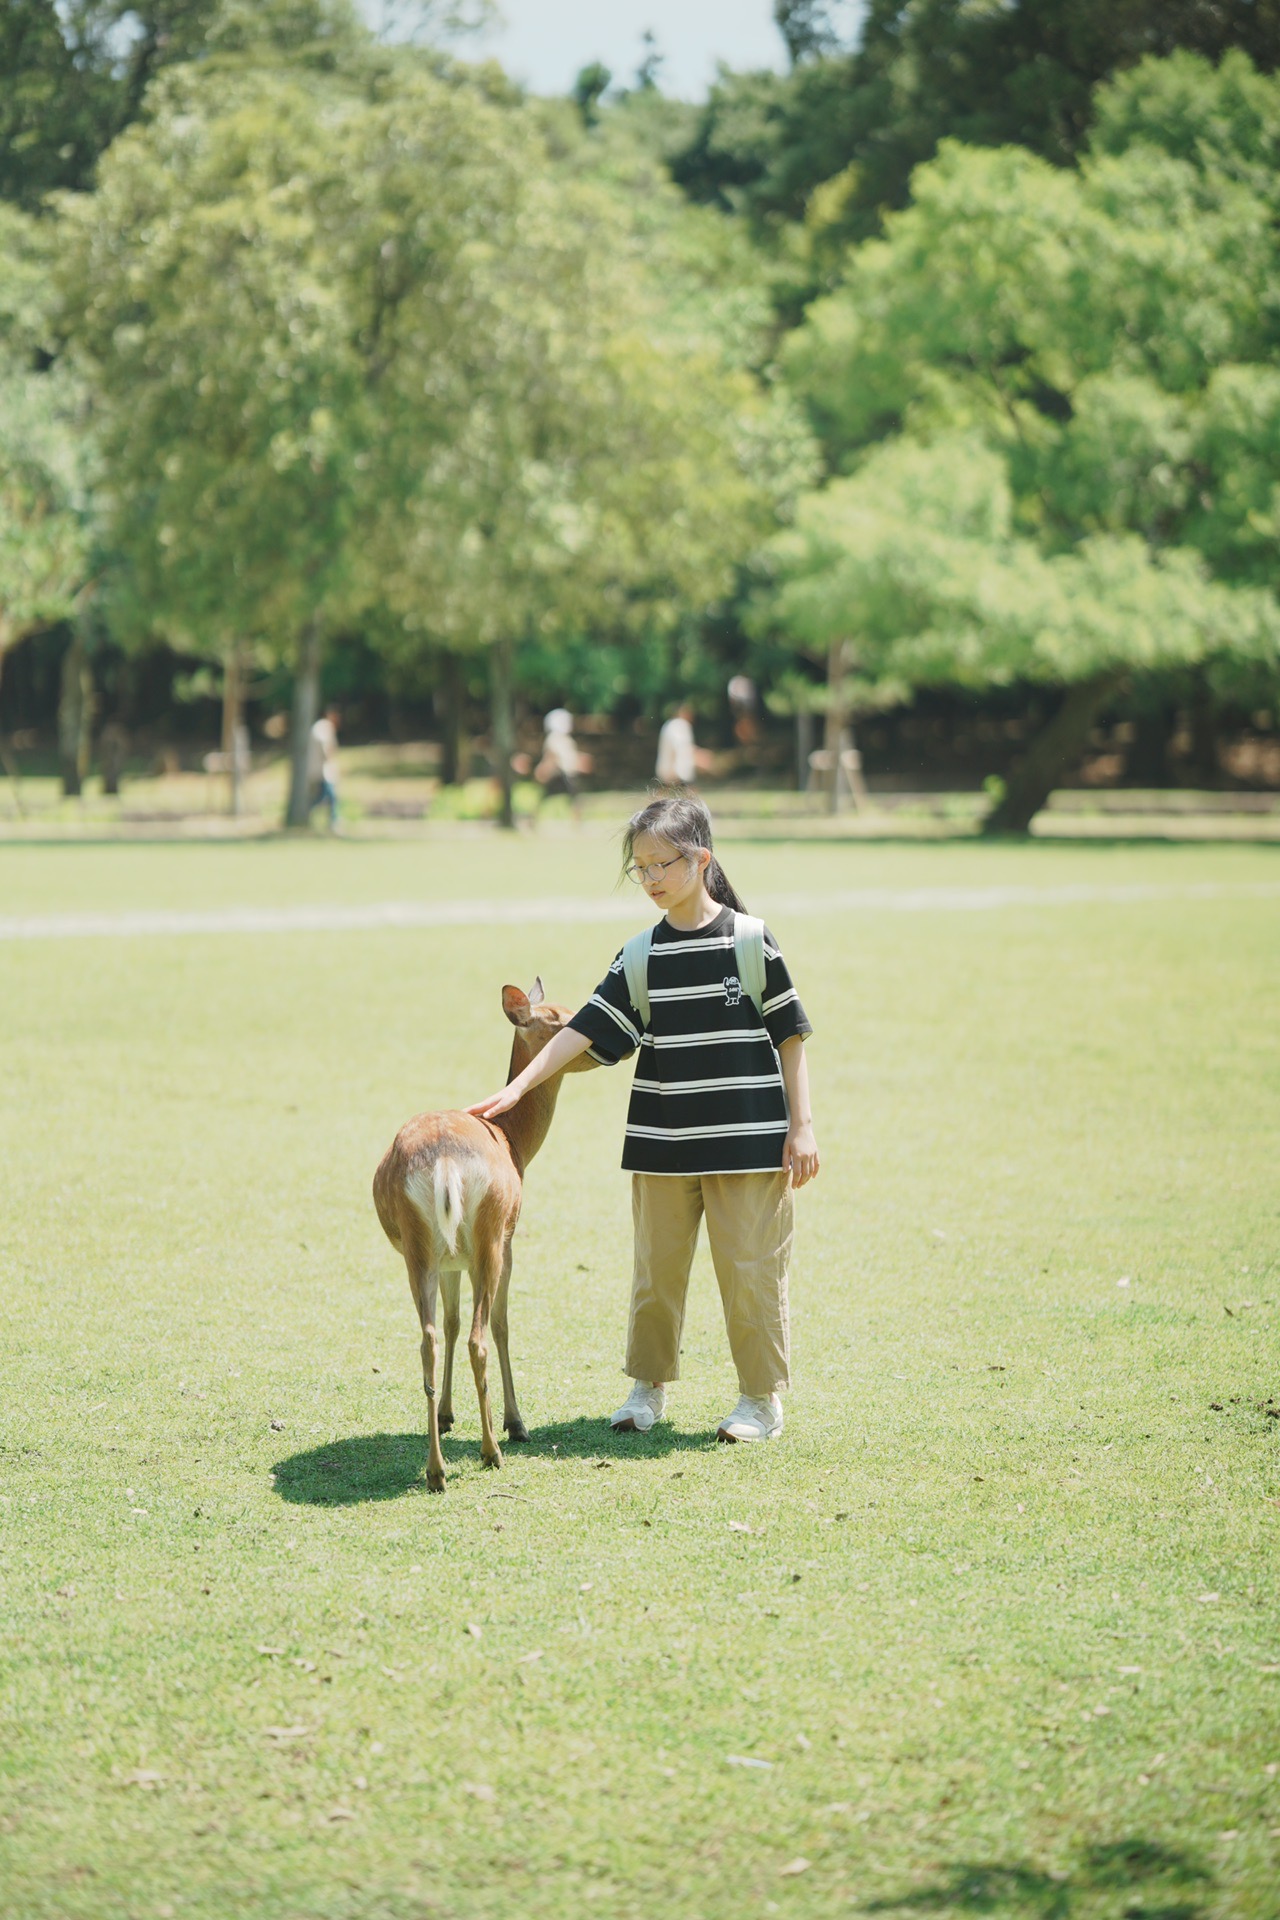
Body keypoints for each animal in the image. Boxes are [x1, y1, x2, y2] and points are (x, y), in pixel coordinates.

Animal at [370, 983, 591, 1489]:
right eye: (562, 1019)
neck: (513, 1140)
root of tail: (446, 1163)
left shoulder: (451, 1260)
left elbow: (450, 1323)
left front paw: (448, 1414)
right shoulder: (508, 1242)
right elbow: (503, 1324)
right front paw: (515, 1422)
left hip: (419, 1248)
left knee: (429, 1338)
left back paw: (436, 1469)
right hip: (488, 1237)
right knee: (481, 1337)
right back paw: (493, 1450)